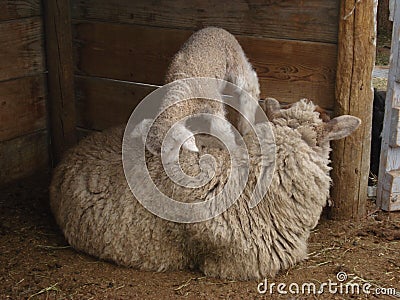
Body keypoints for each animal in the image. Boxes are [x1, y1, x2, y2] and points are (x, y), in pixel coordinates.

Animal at [142, 27, 260, 163]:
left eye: (172, 148)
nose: (167, 165)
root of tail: (215, 28)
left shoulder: (214, 102)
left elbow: (222, 130)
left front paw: (234, 150)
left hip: (235, 59)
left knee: (250, 83)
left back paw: (246, 124)